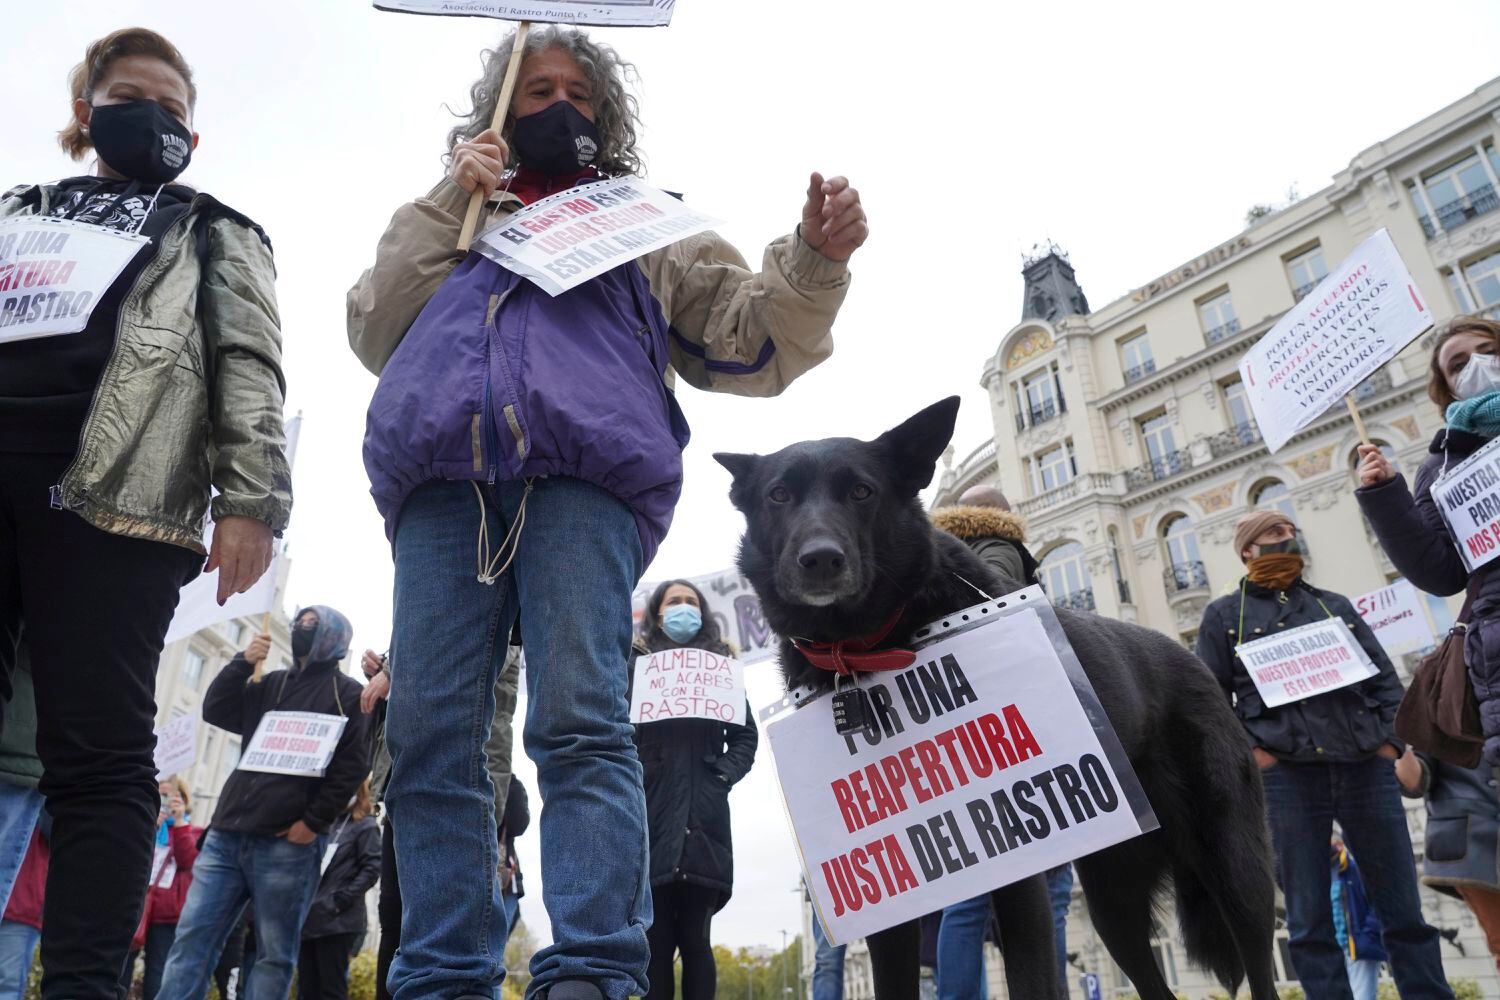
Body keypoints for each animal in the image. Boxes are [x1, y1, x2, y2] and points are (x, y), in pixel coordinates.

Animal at [714, 398, 1278, 1000]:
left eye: (862, 491)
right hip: (1114, 903)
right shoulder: (894, 910)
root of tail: (1193, 658)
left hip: (1235, 871)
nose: (820, 559)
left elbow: (1033, 976)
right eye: (779, 495)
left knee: (1259, 961)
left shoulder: (1019, 876)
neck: (866, 646)